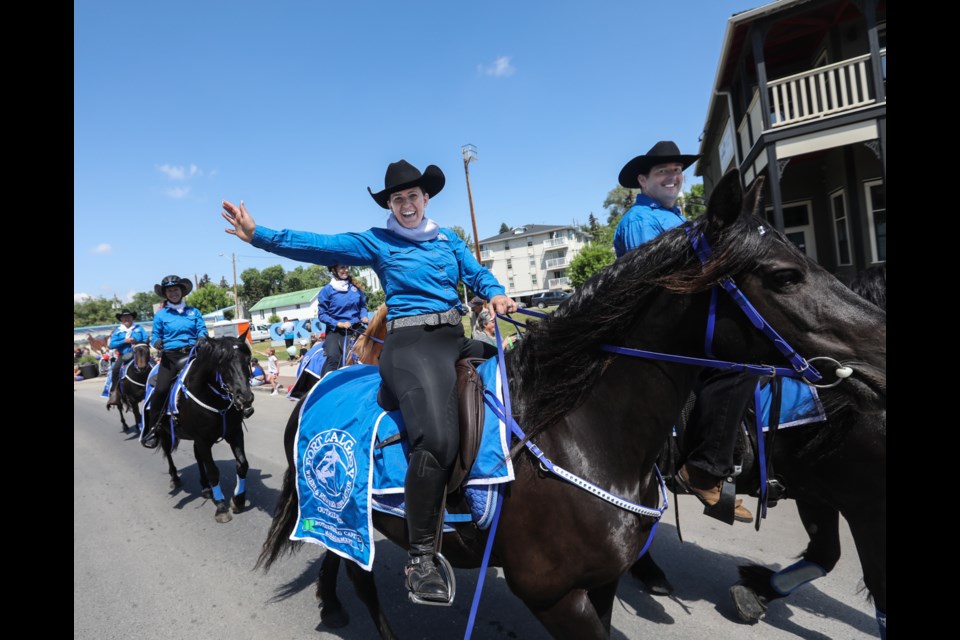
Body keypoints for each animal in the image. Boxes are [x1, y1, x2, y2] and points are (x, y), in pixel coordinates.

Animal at [152, 332, 255, 524]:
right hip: (164, 432)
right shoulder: (203, 440)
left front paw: (238, 500)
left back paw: (206, 488)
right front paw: (221, 507)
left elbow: (242, 465)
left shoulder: (234, 433)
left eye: (248, 360)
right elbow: (213, 471)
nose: (245, 398)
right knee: (168, 452)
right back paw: (175, 478)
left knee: (197, 456)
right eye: (223, 363)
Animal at [255, 171, 884, 640]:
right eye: (785, 275)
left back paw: (329, 603)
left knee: (335, 558)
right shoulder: (556, 598)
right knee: (359, 578)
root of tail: (323, 381)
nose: (882, 345)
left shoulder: (599, 587)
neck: (583, 436)